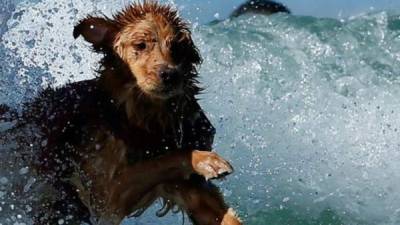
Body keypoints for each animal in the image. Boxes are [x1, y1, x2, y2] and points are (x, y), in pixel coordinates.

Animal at [0, 1, 244, 225]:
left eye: (176, 47)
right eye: (140, 45)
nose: (170, 75)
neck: (140, 116)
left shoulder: (189, 188)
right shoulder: (105, 197)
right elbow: (164, 160)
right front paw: (207, 160)